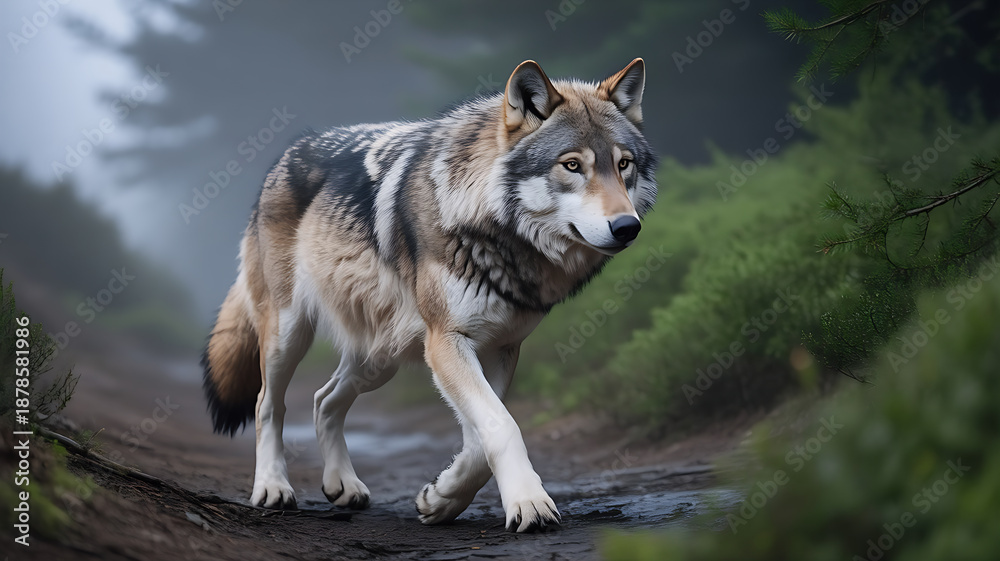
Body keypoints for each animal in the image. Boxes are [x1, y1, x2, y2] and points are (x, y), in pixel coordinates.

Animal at [202, 58, 657, 533]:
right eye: (571, 165)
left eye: (624, 164)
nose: (628, 227)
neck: (496, 235)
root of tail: (289, 152)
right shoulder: (445, 342)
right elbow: (503, 426)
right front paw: (529, 504)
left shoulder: (499, 348)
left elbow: (481, 438)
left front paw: (441, 498)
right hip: (289, 335)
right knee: (267, 405)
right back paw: (272, 487)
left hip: (379, 358)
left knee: (323, 400)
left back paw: (342, 484)